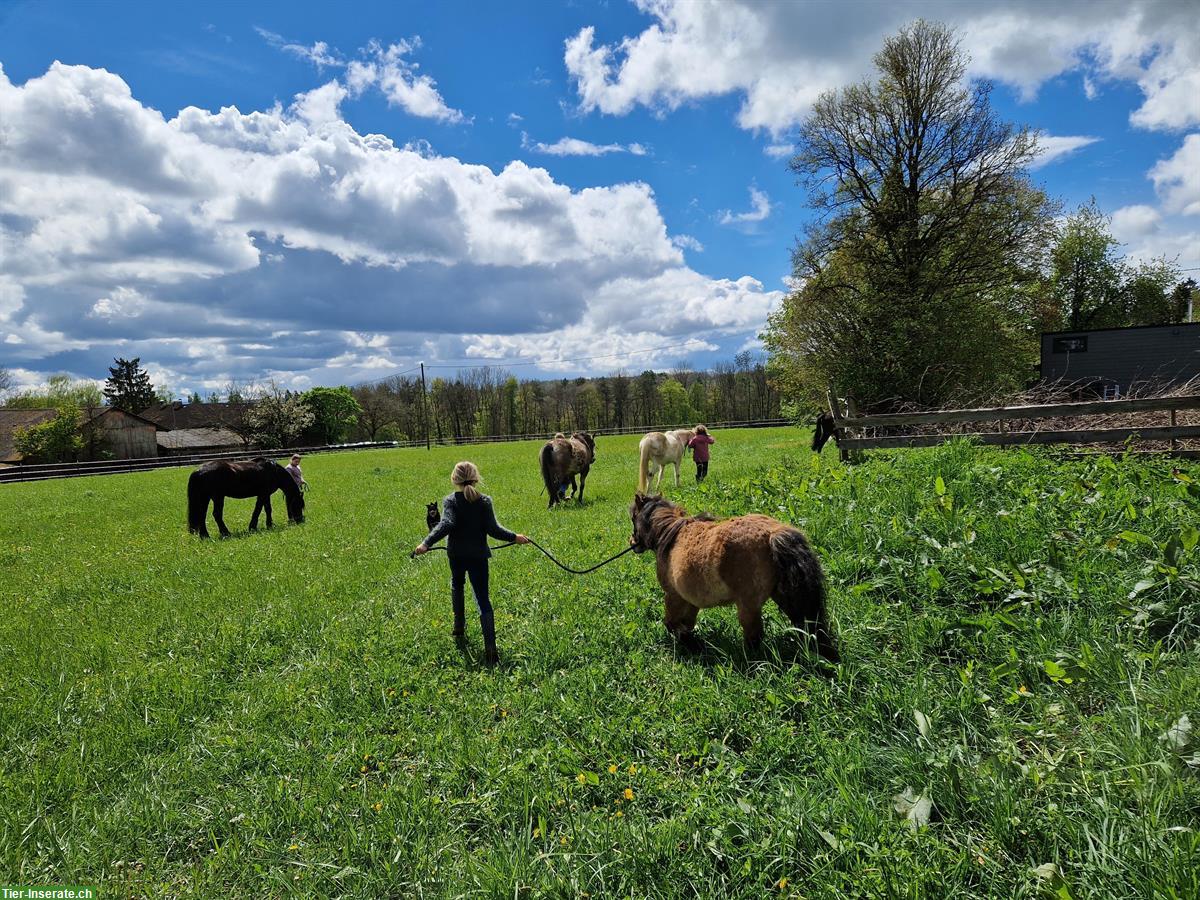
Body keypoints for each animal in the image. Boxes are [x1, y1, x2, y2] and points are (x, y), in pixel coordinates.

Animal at [633, 494, 840, 662]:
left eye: (633, 519)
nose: (632, 543)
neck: (670, 534)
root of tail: (773, 533)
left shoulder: (673, 596)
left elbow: (671, 623)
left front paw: (691, 645)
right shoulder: (690, 601)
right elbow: (687, 624)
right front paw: (695, 644)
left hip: (748, 606)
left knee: (754, 637)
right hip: (785, 597)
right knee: (806, 624)